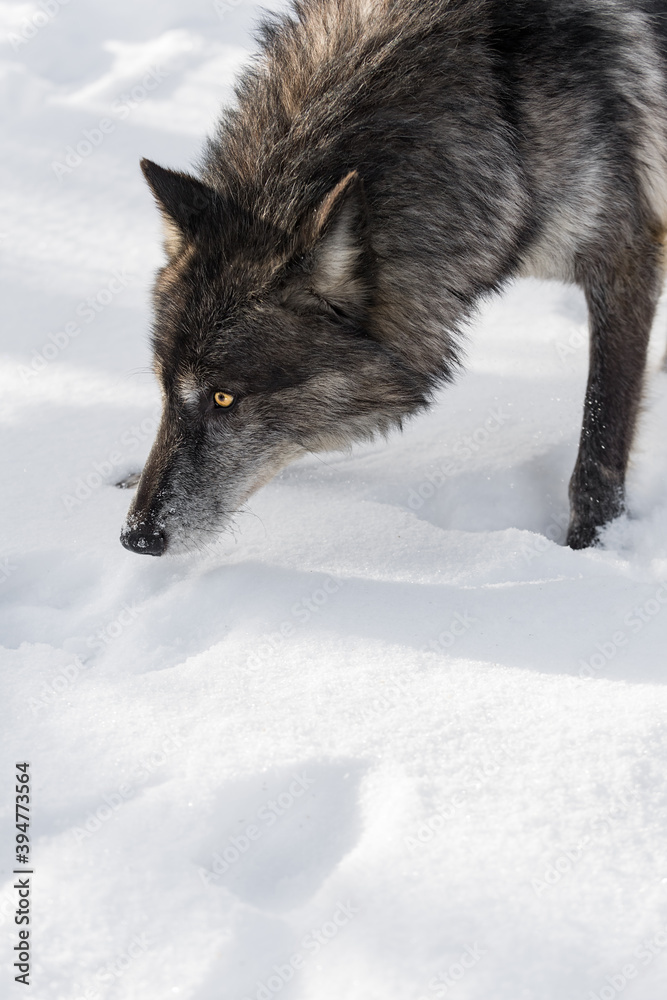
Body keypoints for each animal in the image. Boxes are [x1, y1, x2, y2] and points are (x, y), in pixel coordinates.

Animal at [120, 0, 667, 556]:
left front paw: (588, 551)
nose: (136, 536)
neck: (504, 120)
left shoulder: (625, 260)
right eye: (163, 387)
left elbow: (599, 444)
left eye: (223, 398)